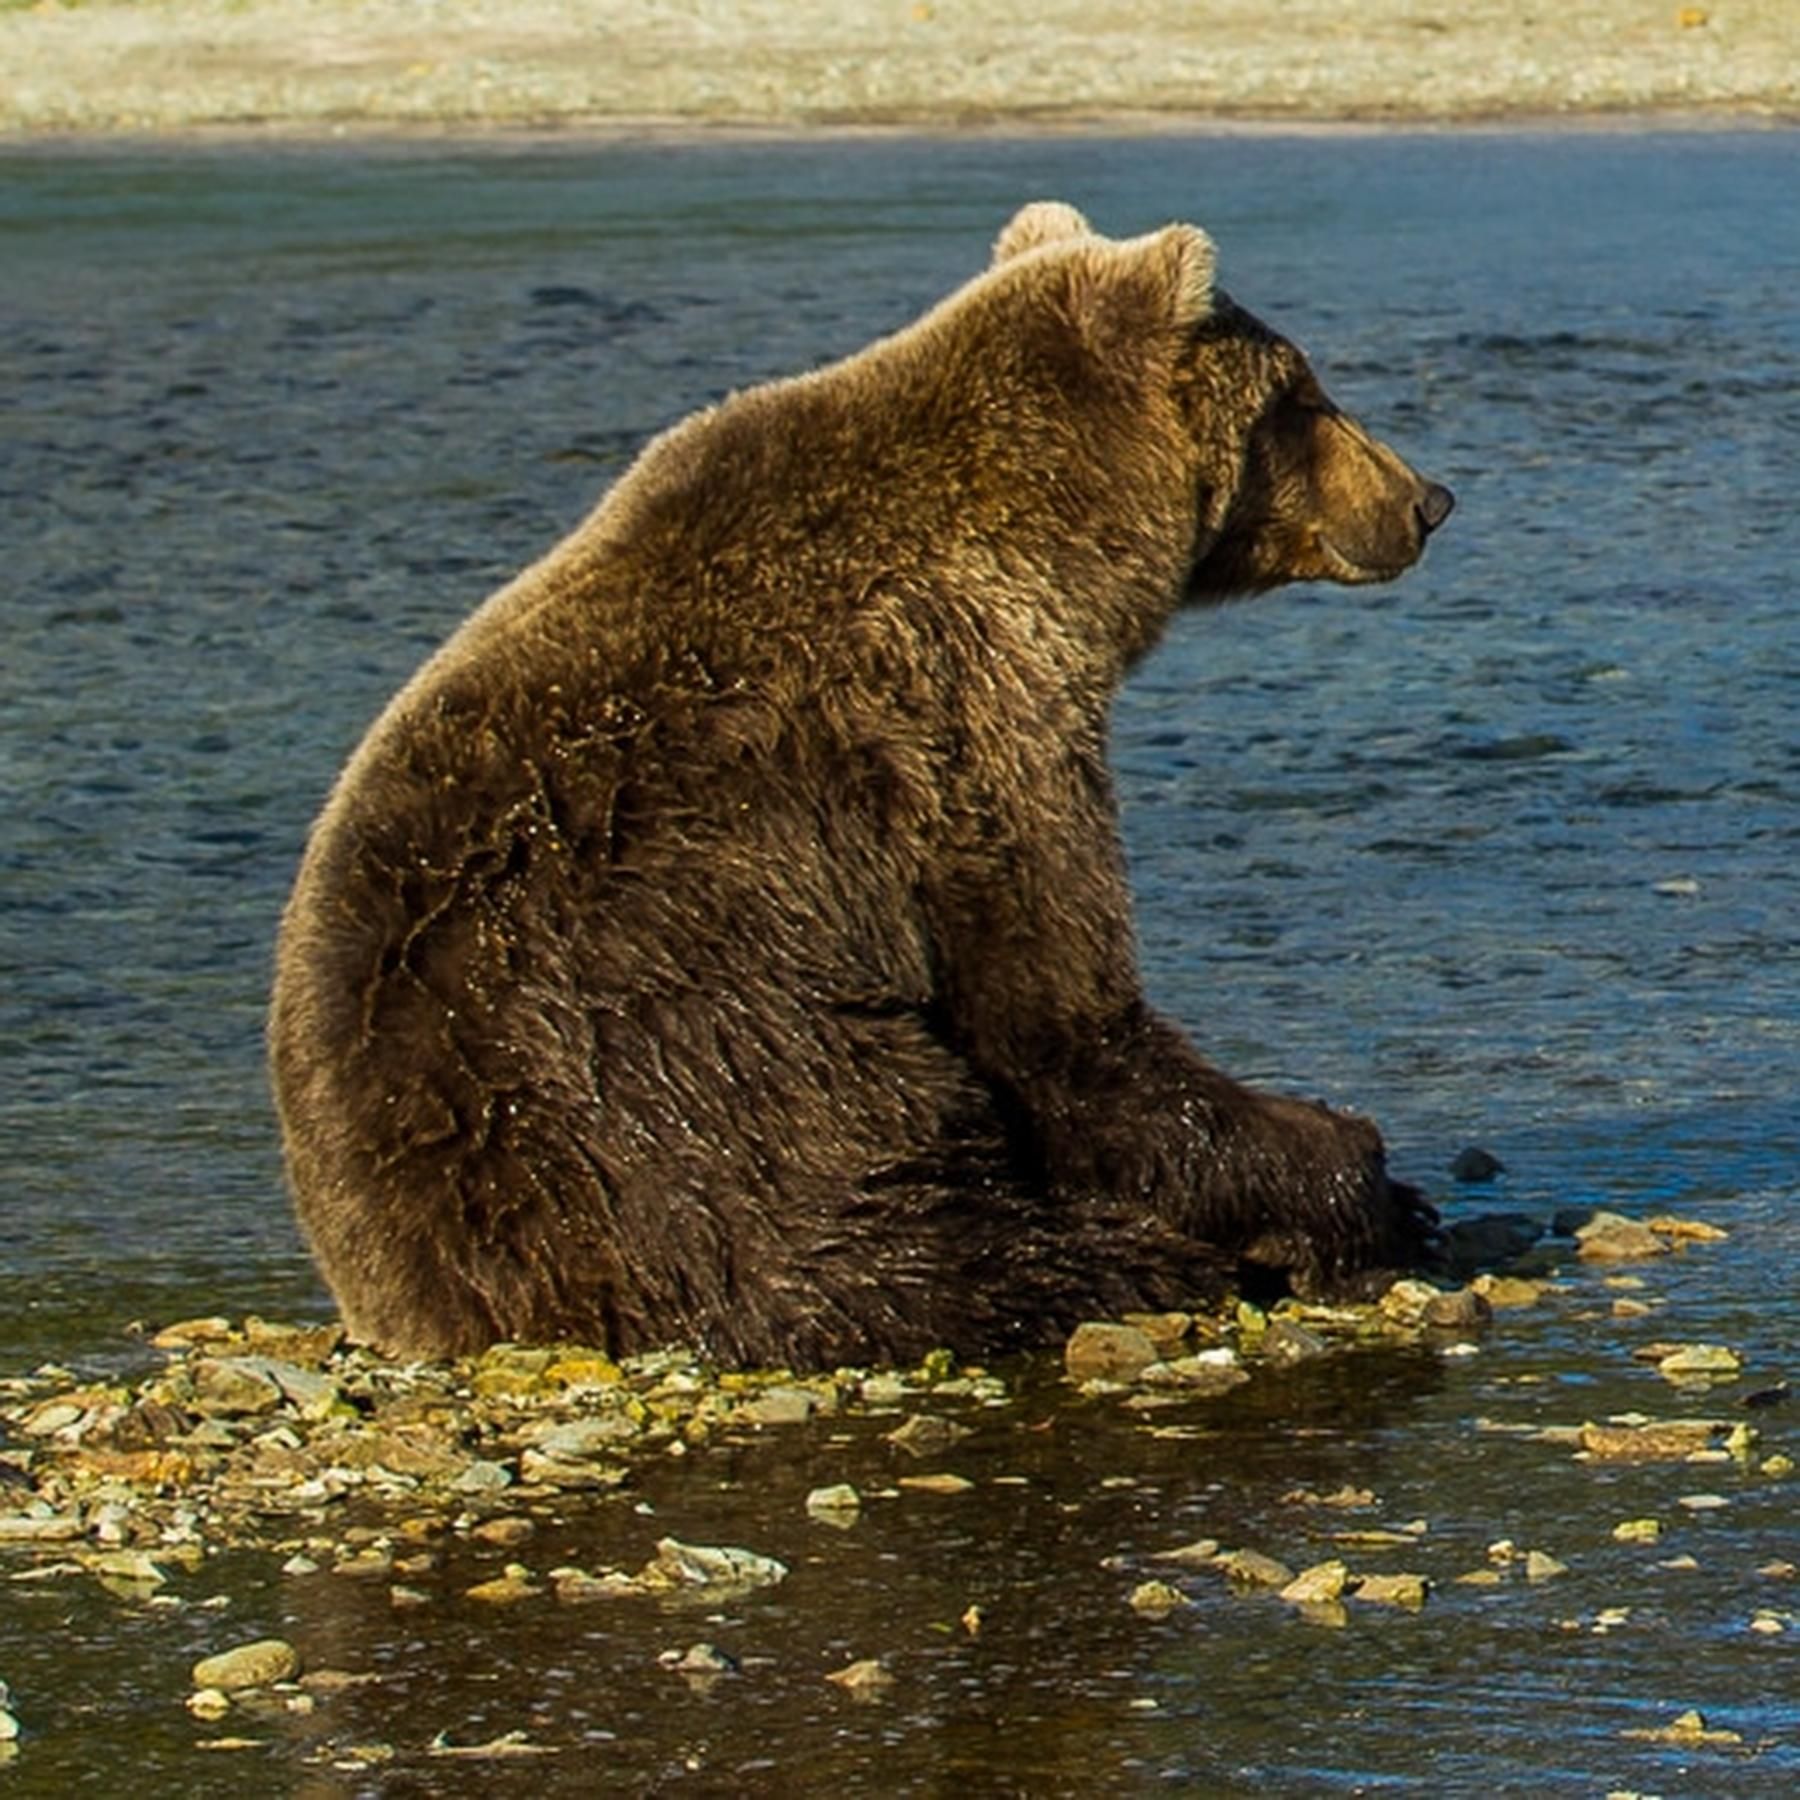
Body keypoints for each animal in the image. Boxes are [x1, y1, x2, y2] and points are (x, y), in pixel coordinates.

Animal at [269, 200, 1453, 1371]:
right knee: (845, 1193)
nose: (1426, 498)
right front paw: (1354, 1172)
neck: (1064, 548)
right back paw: (1107, 1258)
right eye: (1304, 394)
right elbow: (1056, 1018)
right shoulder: (968, 724)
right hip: (657, 1050)